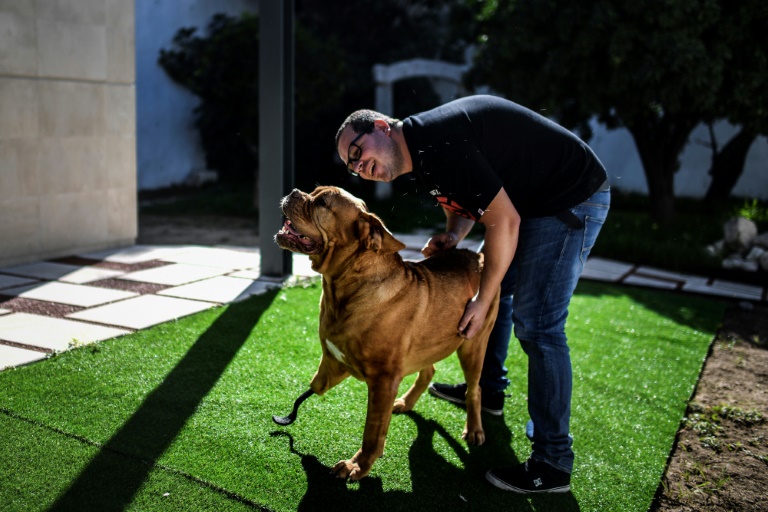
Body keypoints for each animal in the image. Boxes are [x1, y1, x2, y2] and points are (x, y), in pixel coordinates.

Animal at [272, 185, 500, 480]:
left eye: (322, 203)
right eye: (313, 191)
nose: (294, 191)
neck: (345, 286)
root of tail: (478, 256)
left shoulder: (383, 381)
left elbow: (373, 429)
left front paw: (357, 465)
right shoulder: (334, 360)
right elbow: (314, 386)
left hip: (473, 344)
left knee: (475, 389)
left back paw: (474, 429)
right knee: (429, 369)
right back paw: (406, 402)